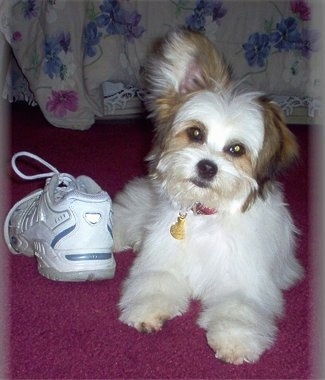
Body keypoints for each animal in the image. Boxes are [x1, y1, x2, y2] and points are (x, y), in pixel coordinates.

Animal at [112, 30, 302, 366]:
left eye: (236, 149)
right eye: (196, 134)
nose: (206, 166)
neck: (207, 214)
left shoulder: (244, 282)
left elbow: (238, 311)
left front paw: (235, 342)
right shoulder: (163, 262)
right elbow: (153, 282)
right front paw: (147, 311)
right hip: (139, 208)